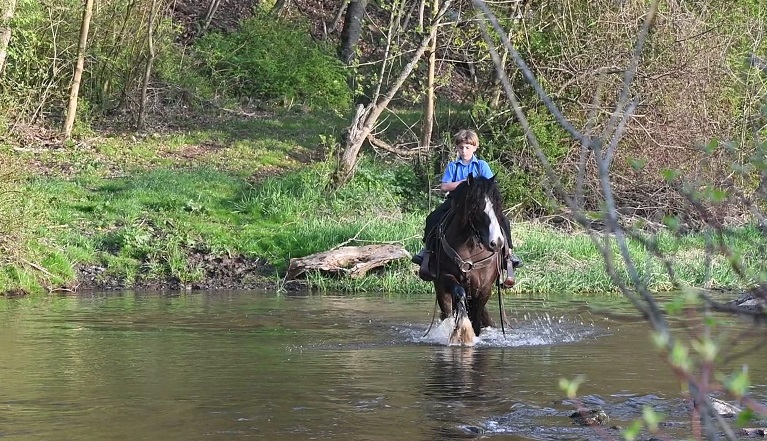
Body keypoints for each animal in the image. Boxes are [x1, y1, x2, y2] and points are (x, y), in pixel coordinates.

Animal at [426, 174, 512, 344]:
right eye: (476, 206)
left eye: (498, 205)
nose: (497, 242)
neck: (470, 245)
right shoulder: (446, 277)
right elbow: (459, 294)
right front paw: (463, 331)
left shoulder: (485, 288)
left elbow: (477, 316)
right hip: (440, 290)